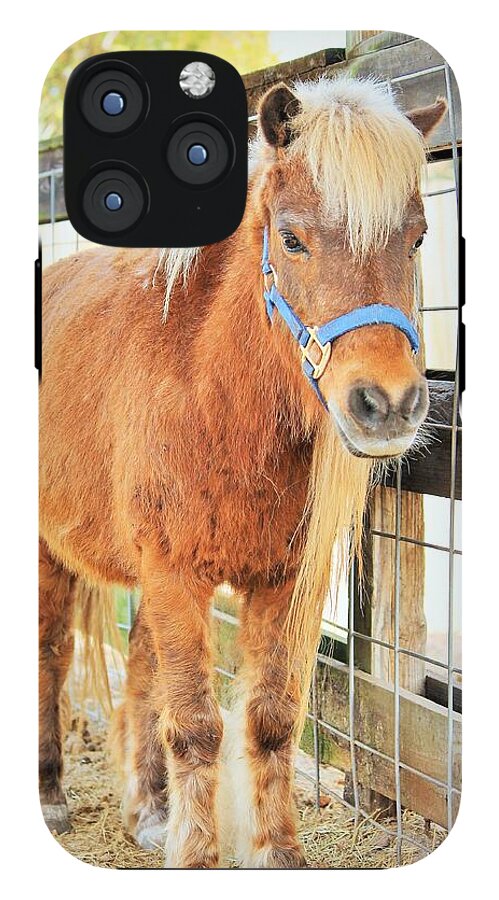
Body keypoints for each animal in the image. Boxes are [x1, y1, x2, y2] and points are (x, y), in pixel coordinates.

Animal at [39, 75, 447, 868]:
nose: (387, 405)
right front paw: (199, 858)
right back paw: (50, 794)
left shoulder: (282, 581)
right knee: (50, 654)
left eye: (416, 237)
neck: (213, 393)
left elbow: (270, 719)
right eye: (290, 238)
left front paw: (276, 855)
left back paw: (148, 811)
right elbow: (197, 725)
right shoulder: (175, 571)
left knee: (141, 667)